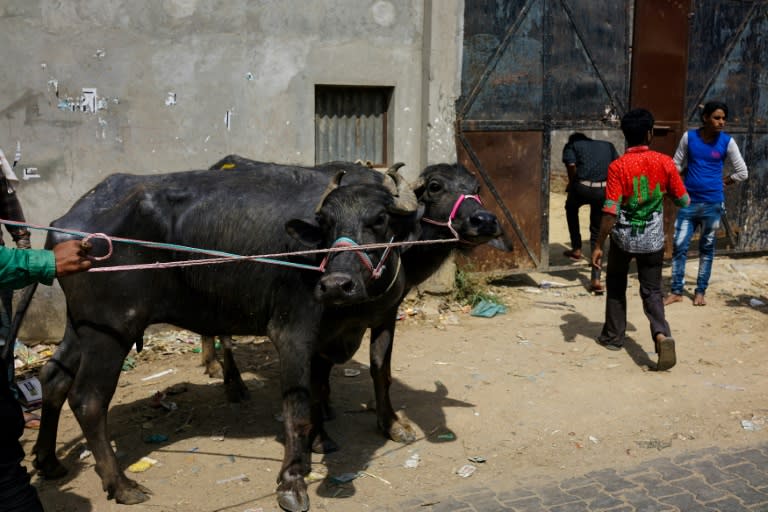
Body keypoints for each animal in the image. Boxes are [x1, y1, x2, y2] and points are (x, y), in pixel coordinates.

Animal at [24, 166, 420, 510]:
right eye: (325, 224)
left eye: (379, 220)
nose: (336, 284)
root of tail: (65, 226)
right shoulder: (293, 333)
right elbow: (297, 408)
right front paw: (293, 481)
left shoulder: (378, 320)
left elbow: (371, 376)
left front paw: (383, 427)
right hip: (110, 331)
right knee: (88, 399)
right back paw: (121, 485)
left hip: (81, 327)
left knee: (54, 377)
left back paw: (48, 460)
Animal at [207, 157, 508, 452]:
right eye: (435, 186)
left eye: (477, 188)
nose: (485, 220)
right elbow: (319, 371)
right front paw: (321, 422)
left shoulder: (387, 310)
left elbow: (378, 367)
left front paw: (388, 423)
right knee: (222, 332)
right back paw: (229, 380)